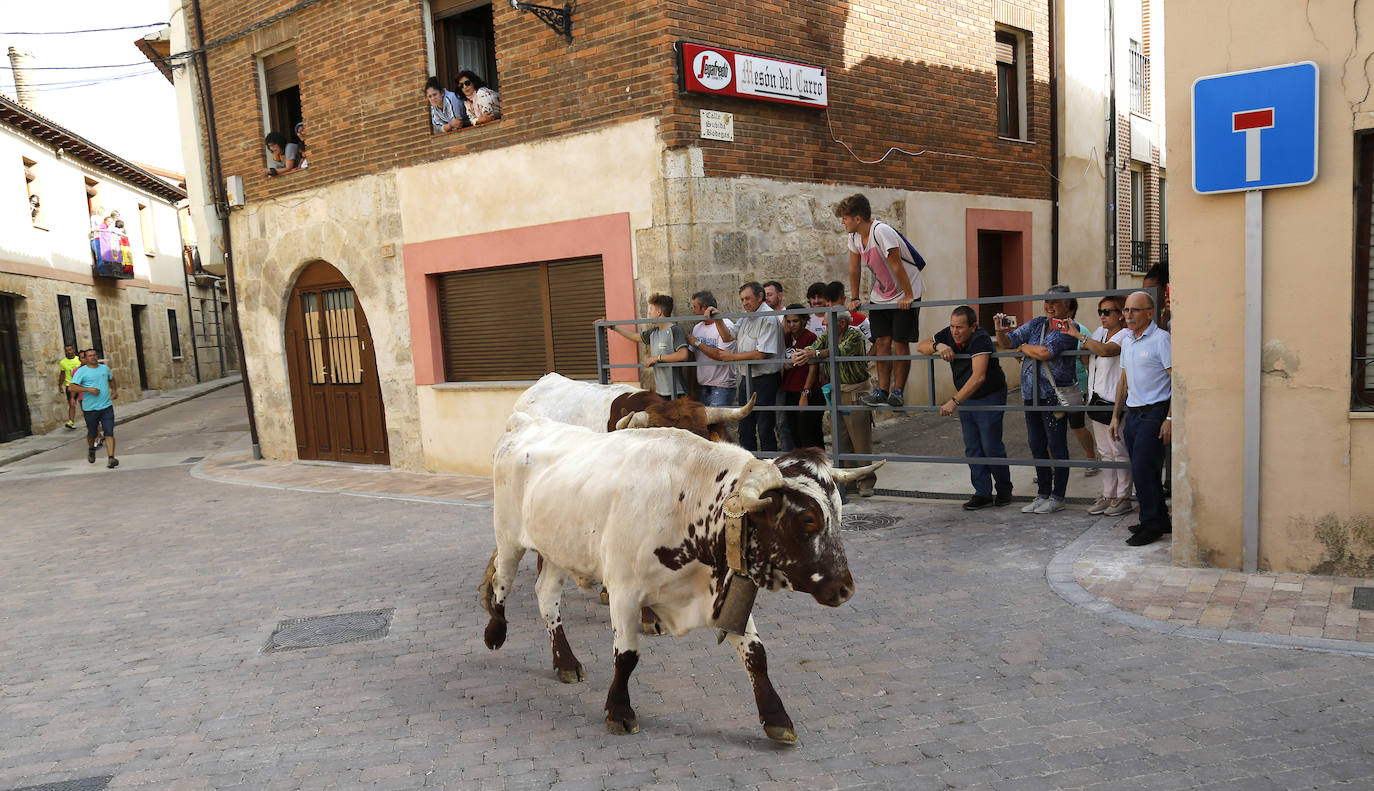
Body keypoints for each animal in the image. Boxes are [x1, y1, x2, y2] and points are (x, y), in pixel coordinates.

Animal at [480, 414, 879, 741]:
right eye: (807, 520)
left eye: (838, 513)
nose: (845, 588)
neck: (687, 501)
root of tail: (525, 421)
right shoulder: (623, 593)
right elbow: (626, 656)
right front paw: (619, 711)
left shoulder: (726, 595)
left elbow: (756, 655)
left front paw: (776, 718)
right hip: (509, 537)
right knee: (502, 580)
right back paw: (495, 630)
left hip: (559, 550)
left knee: (546, 595)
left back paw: (564, 661)